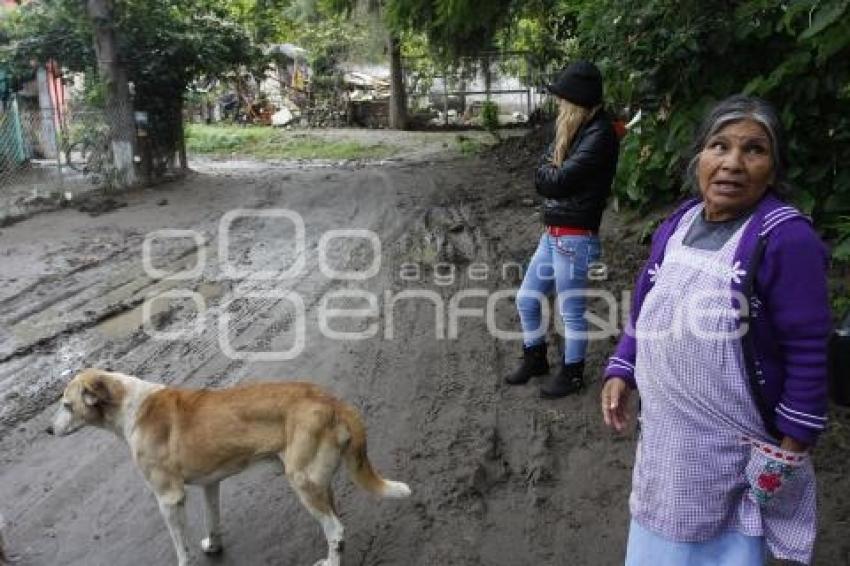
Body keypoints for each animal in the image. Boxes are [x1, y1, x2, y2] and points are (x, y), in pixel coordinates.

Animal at [48, 370, 412, 564]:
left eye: (66, 405)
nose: (48, 431)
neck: (131, 405)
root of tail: (331, 400)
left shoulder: (168, 498)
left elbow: (179, 546)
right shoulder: (211, 484)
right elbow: (213, 521)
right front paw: (214, 547)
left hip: (303, 482)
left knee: (335, 529)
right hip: (318, 482)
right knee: (336, 528)